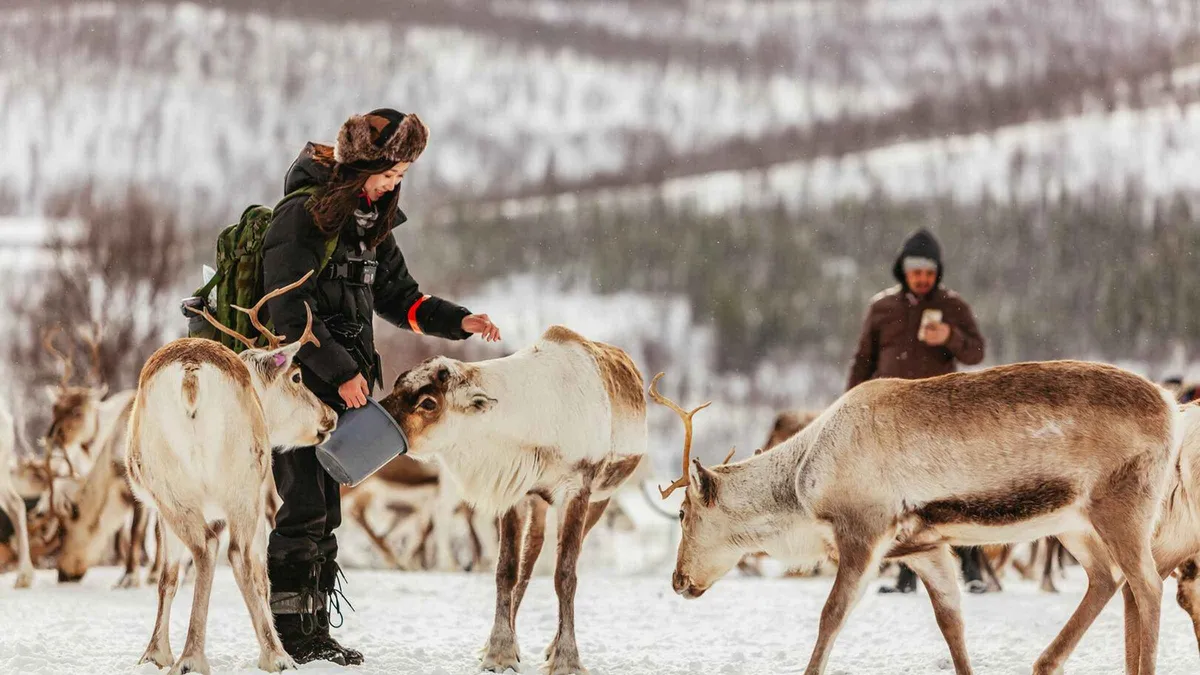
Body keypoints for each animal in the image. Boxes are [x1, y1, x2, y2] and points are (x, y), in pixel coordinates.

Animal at [127, 270, 337, 675]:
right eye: (297, 377)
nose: (329, 416)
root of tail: (190, 376)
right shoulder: (257, 496)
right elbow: (262, 575)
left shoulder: (158, 509)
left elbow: (167, 577)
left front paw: (155, 654)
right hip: (241, 483)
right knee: (237, 555)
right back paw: (268, 655)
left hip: (171, 485)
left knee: (202, 549)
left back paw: (187, 656)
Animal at [377, 324, 646, 675]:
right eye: (398, 383)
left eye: (428, 402)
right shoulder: (514, 492)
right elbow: (506, 570)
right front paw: (499, 651)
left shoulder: (577, 491)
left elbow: (565, 575)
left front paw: (566, 657)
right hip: (539, 501)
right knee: (531, 554)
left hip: (600, 499)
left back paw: (551, 646)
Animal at [652, 360, 1183, 675]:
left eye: (682, 512)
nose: (677, 580)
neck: (804, 490)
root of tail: (1171, 406)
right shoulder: (927, 547)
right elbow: (952, 624)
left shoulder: (863, 531)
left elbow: (831, 616)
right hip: (1074, 523)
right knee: (1108, 579)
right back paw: (1046, 662)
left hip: (1121, 506)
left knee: (1147, 585)